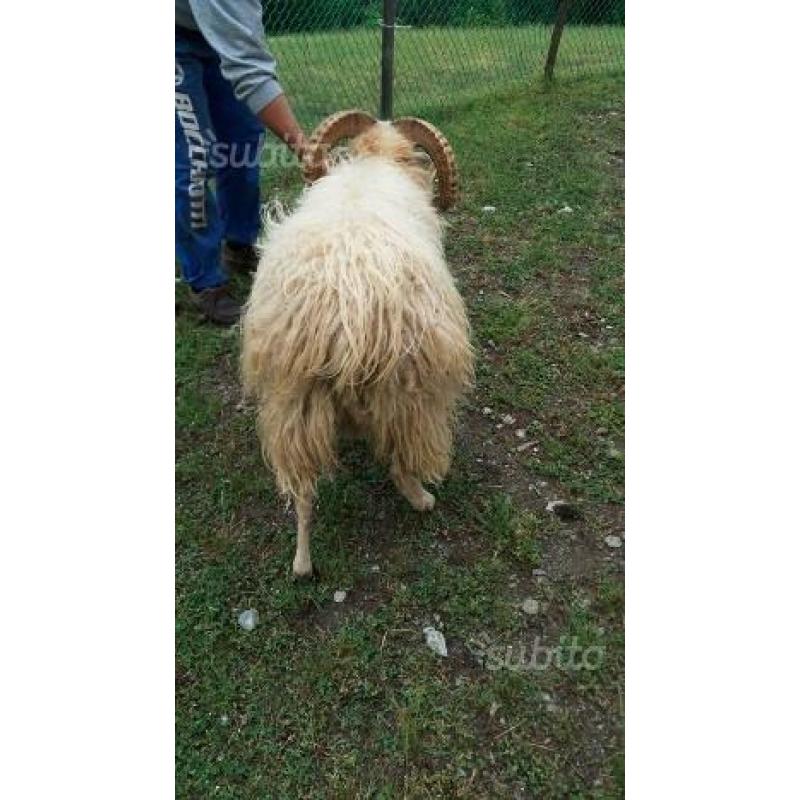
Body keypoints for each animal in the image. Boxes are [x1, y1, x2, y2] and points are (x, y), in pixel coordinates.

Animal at [241, 111, 473, 578]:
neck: (374, 164)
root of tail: (342, 315)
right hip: (408, 391)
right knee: (401, 455)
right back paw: (421, 497)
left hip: (293, 403)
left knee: (303, 493)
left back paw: (302, 563)